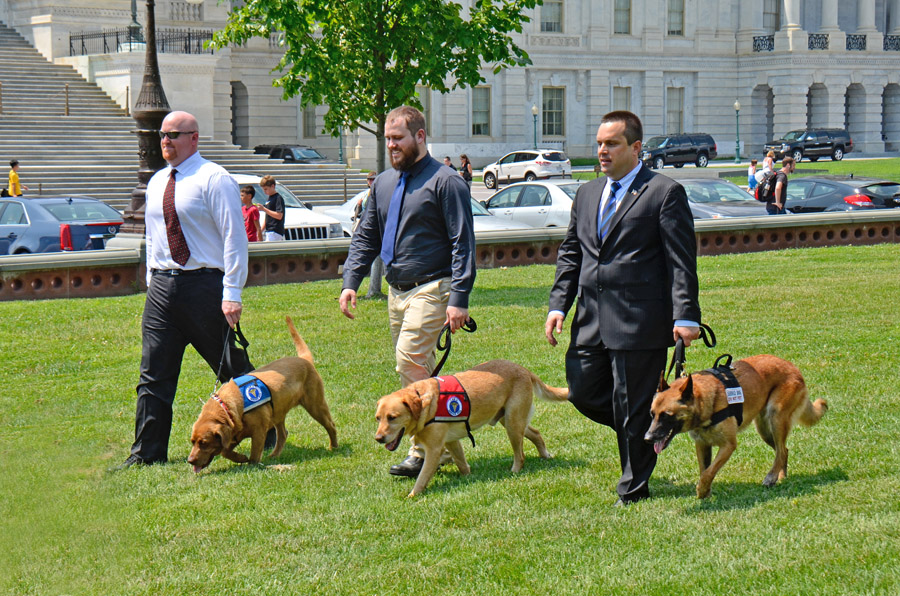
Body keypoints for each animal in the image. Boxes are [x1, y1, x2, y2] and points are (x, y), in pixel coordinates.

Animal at [372, 358, 568, 498]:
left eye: (392, 417)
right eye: (378, 418)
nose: (378, 438)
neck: (424, 403)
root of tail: (523, 369)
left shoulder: (434, 449)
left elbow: (422, 478)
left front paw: (412, 496)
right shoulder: (451, 441)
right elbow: (461, 463)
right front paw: (468, 477)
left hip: (513, 422)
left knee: (520, 455)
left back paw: (515, 471)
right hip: (509, 419)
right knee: (536, 433)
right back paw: (545, 455)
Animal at [648, 354, 828, 498]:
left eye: (667, 415)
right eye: (652, 414)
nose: (647, 438)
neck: (707, 402)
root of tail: (793, 368)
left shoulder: (728, 445)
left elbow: (709, 472)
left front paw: (702, 491)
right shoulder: (702, 444)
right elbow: (705, 470)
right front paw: (706, 492)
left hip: (776, 419)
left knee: (782, 450)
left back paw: (771, 477)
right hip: (765, 430)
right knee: (783, 450)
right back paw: (780, 475)